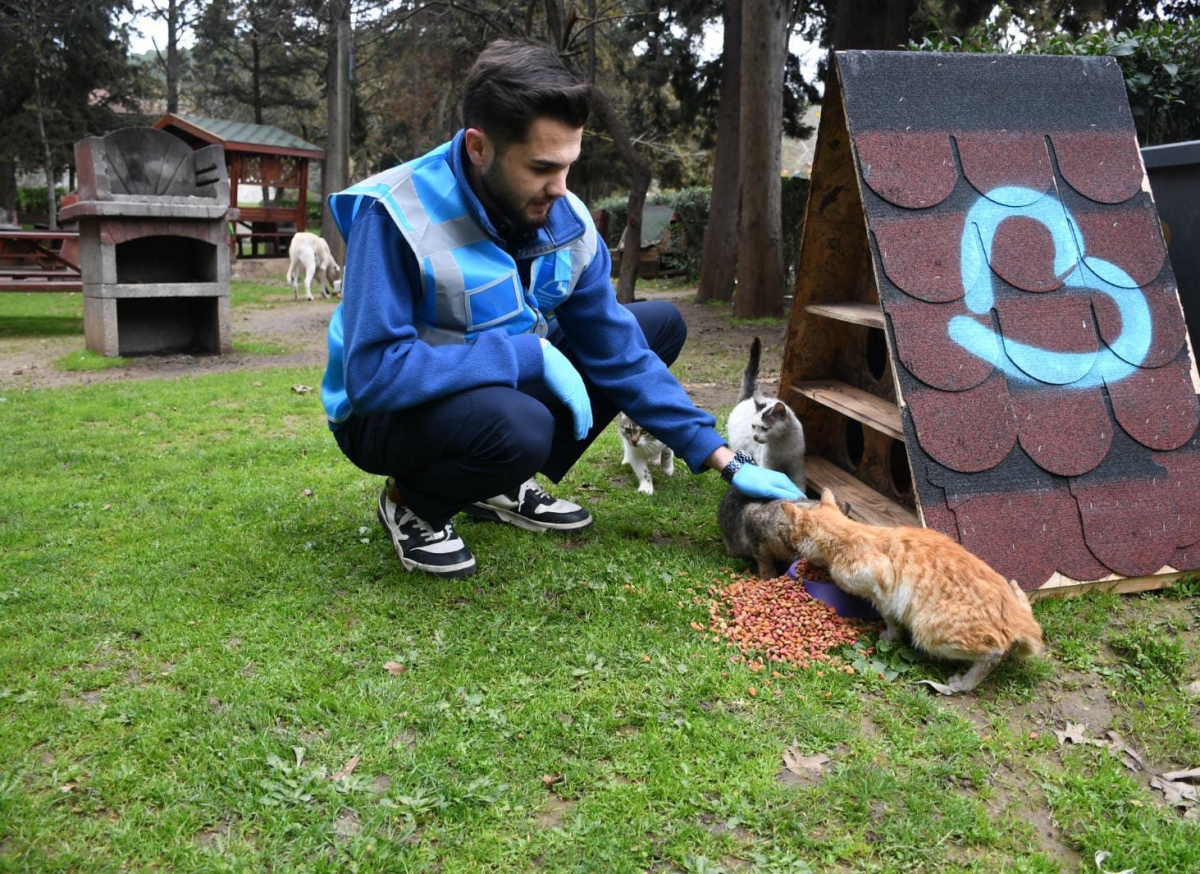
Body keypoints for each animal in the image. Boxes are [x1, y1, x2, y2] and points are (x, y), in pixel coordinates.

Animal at [720, 336, 806, 492]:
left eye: (765, 428)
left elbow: (799, 483)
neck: (780, 443)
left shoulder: (796, 465)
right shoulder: (767, 464)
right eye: (753, 426)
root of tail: (747, 399)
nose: (755, 437)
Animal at [782, 487, 1046, 691]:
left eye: (794, 537)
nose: (792, 547)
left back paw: (963, 683)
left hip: (928, 629)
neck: (849, 536)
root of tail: (1018, 616)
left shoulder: (882, 591)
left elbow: (890, 618)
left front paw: (888, 635)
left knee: (994, 654)